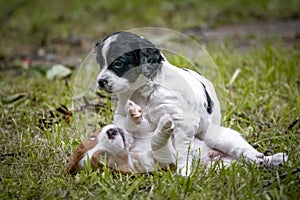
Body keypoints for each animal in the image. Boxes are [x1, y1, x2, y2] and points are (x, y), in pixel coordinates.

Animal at [95, 31, 288, 175]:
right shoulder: (134, 119)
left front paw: (183, 172)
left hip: (217, 136)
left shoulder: (182, 122)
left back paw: (274, 159)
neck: (144, 90)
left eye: (118, 63)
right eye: (100, 63)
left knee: (251, 155)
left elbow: (181, 149)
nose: (101, 82)